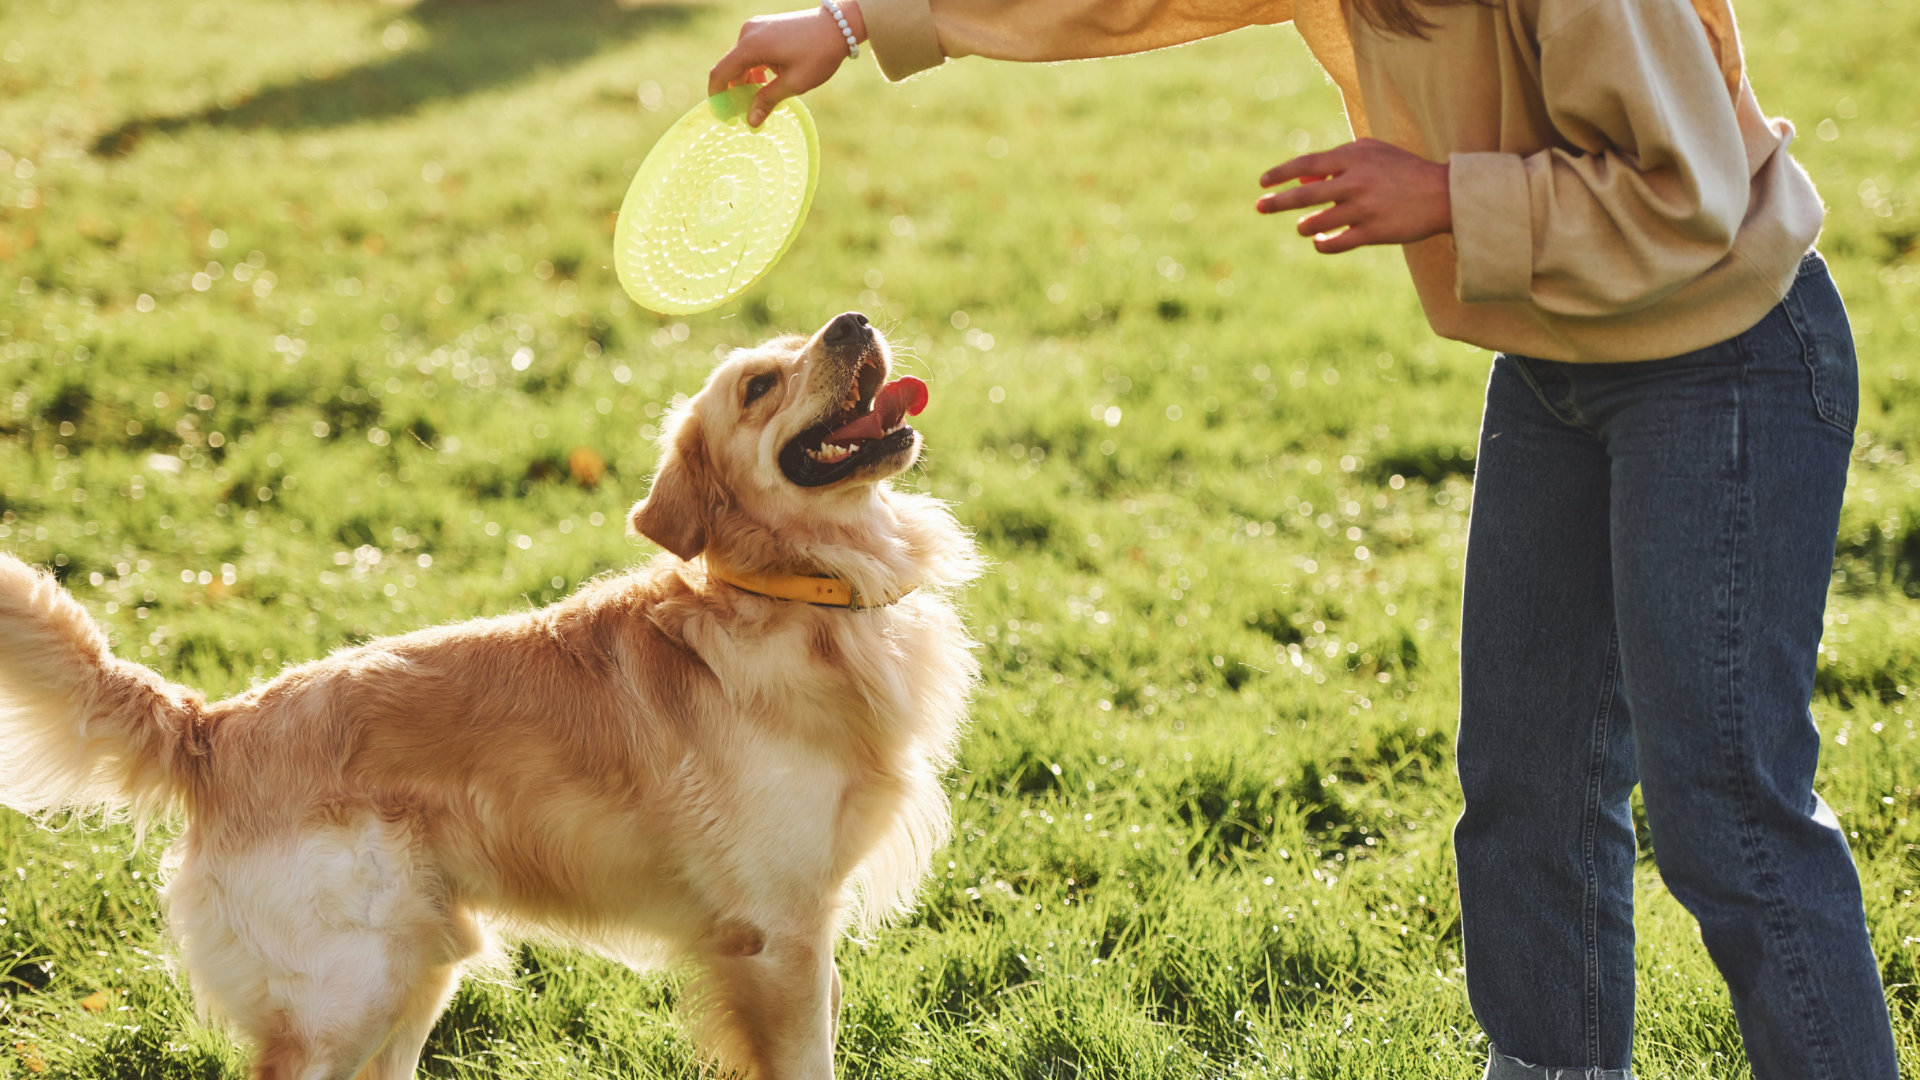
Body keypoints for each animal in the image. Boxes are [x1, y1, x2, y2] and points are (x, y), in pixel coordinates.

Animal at [0, 311, 975, 1076]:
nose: (852, 322)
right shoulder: (776, 934)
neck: (799, 594)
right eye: (760, 385)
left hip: (414, 974)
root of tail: (216, 725)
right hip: (345, 995)